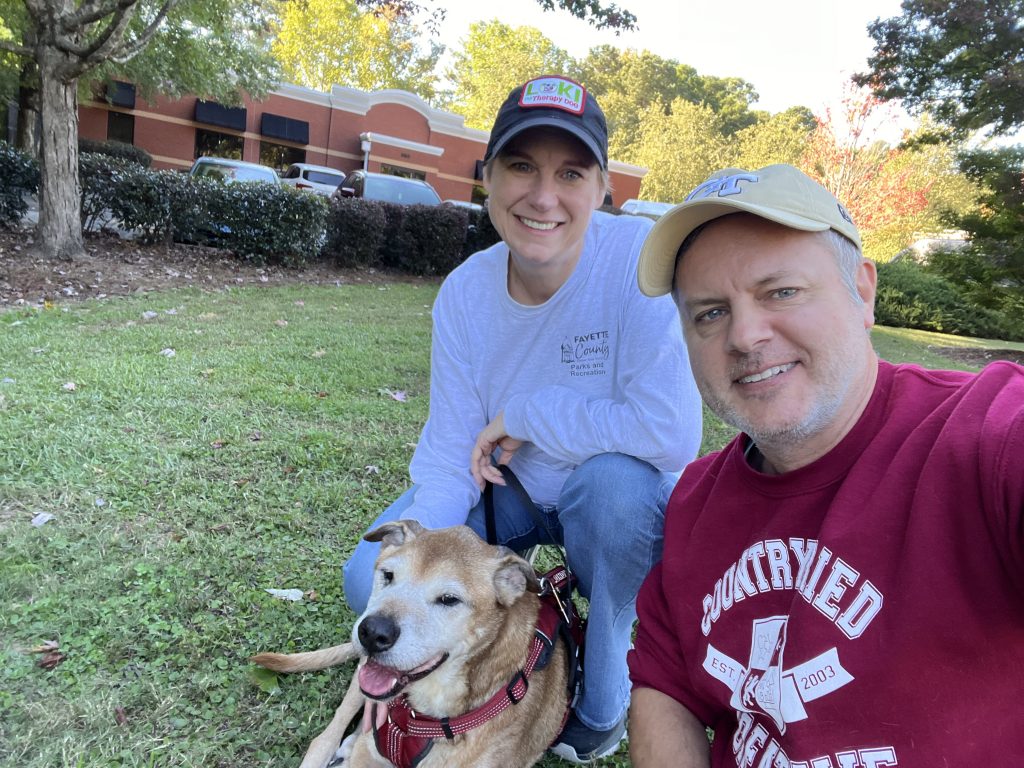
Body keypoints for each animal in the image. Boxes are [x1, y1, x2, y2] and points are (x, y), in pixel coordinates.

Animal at [250, 520, 577, 765]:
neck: (424, 710)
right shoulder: (369, 753)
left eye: (449, 599)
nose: (372, 633)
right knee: (324, 739)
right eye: (388, 575)